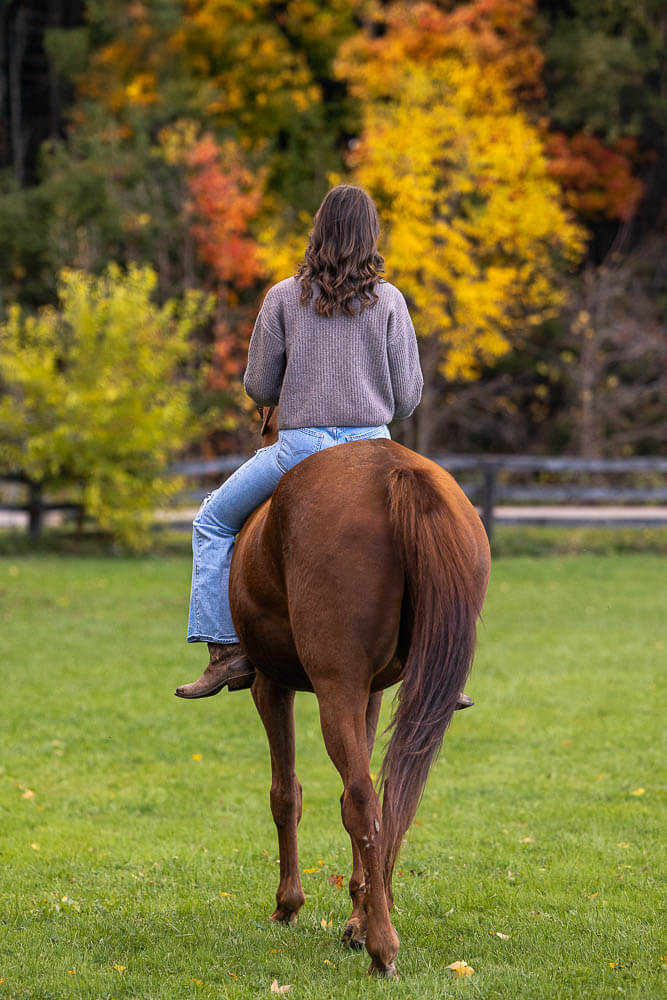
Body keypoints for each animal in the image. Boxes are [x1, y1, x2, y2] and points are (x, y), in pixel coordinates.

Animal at [228, 407, 490, 977]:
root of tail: (394, 473)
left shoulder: (271, 686)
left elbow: (286, 793)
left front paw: (288, 906)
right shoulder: (369, 692)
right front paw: (355, 911)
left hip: (332, 690)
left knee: (362, 801)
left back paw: (382, 950)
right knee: (385, 800)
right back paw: (371, 924)